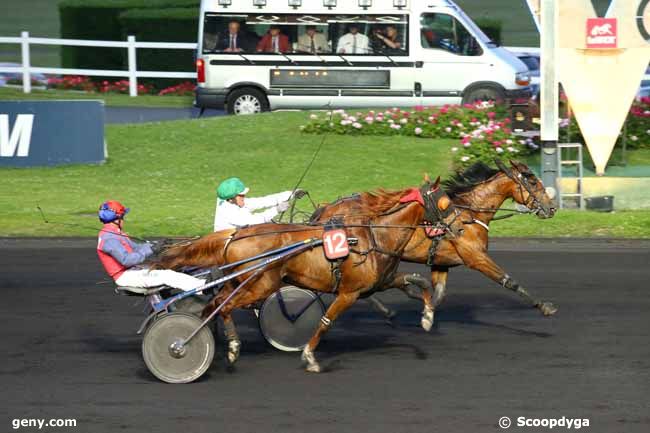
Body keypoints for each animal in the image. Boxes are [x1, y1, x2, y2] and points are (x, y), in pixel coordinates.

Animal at [155, 178, 464, 372]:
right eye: (445, 204)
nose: (461, 228)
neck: (374, 236)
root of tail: (233, 236)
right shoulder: (349, 293)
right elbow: (326, 321)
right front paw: (310, 357)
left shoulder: (381, 281)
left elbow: (419, 283)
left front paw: (427, 316)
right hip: (259, 284)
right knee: (225, 307)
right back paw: (221, 346)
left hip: (240, 282)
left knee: (213, 304)